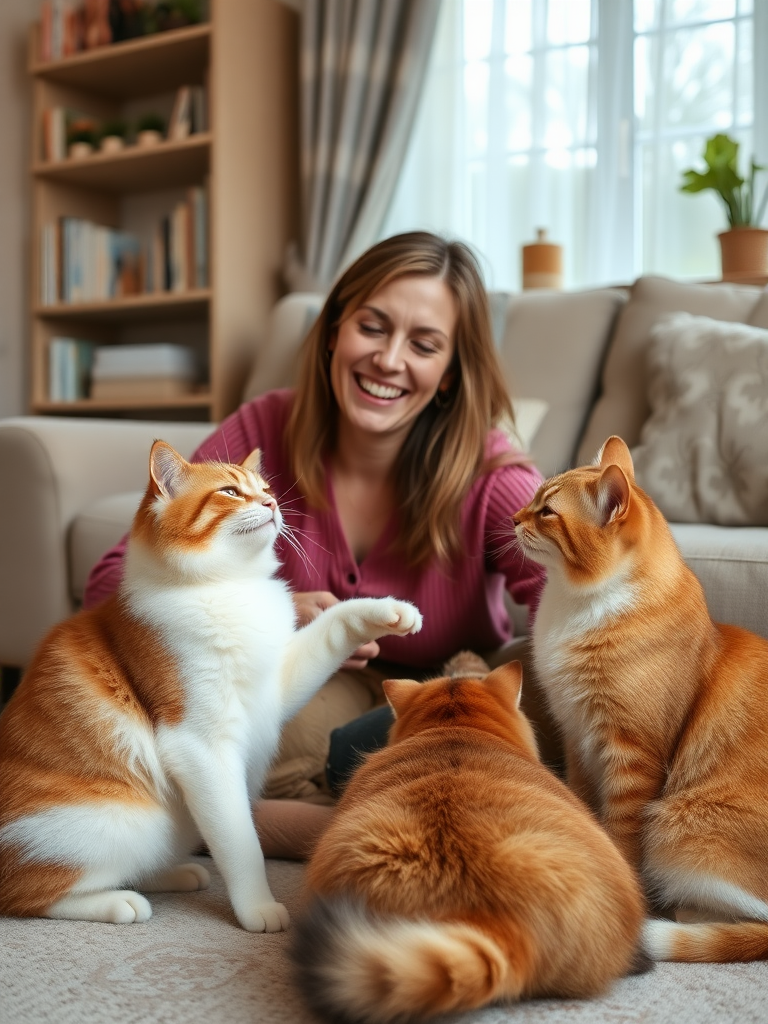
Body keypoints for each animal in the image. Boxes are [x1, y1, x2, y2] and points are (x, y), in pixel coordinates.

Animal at [0, 440, 421, 929]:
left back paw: (173, 874)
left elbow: (333, 625)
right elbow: (241, 842)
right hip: (126, 824)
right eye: (230, 492)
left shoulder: (275, 688)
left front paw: (389, 610)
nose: (273, 504)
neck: (228, 587)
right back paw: (118, 901)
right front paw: (258, 908)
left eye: (265, 489)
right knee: (31, 894)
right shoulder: (201, 746)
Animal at [514, 436, 768, 962]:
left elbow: (621, 836)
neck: (573, 605)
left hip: (677, 829)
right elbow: (585, 810)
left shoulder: (632, 757)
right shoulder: (577, 742)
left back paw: (677, 913)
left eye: (546, 511)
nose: (511, 518)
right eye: (532, 500)